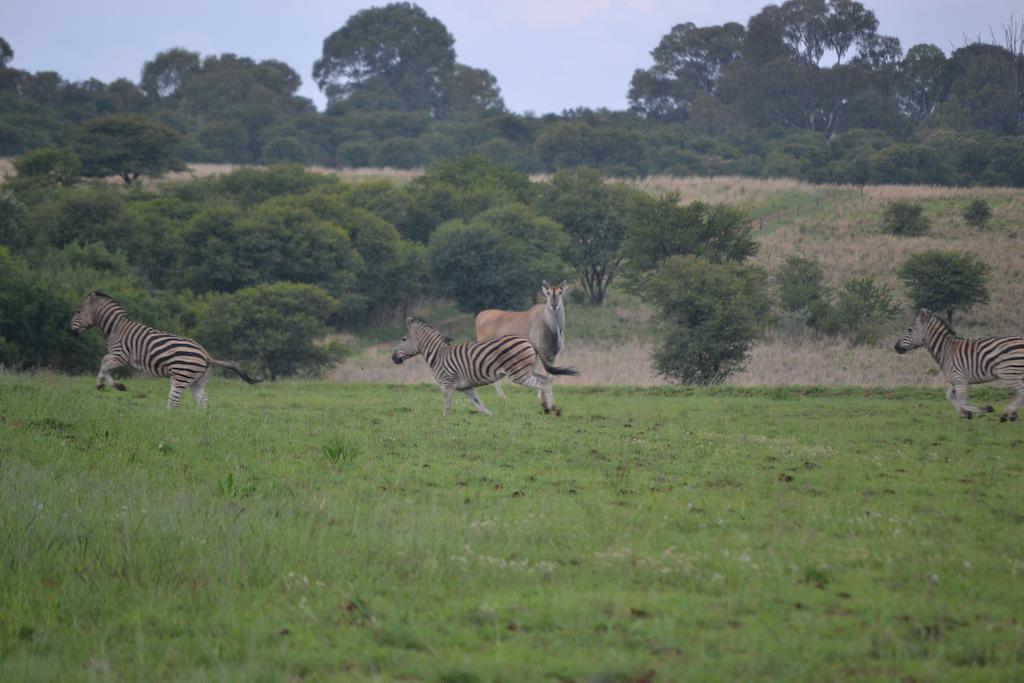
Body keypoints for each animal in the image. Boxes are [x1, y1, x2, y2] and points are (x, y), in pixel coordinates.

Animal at [67, 290, 260, 409]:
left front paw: (113, 385)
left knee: (174, 403)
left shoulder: (121, 355)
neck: (116, 327)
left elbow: (104, 363)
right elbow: (103, 362)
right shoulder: (117, 355)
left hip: (180, 376)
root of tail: (206, 355)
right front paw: (102, 384)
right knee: (203, 402)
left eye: (77, 312)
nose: (69, 332)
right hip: (197, 381)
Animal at [389, 319, 581, 419]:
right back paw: (550, 407)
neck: (437, 355)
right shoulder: (466, 387)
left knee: (543, 383)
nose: (393, 358)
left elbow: (447, 406)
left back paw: (551, 408)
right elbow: (479, 405)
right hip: (528, 369)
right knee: (547, 378)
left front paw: (444, 422)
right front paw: (492, 416)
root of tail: (526, 339)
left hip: (518, 374)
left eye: (404, 339)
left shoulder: (447, 384)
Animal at [892, 311, 1024, 421]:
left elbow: (962, 403)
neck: (946, 350)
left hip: (1008, 373)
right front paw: (965, 413)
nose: (896, 347)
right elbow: (950, 397)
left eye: (909, 330)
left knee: (1021, 392)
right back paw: (1012, 414)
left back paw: (1007, 414)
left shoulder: (960, 380)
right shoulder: (954, 380)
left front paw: (979, 410)